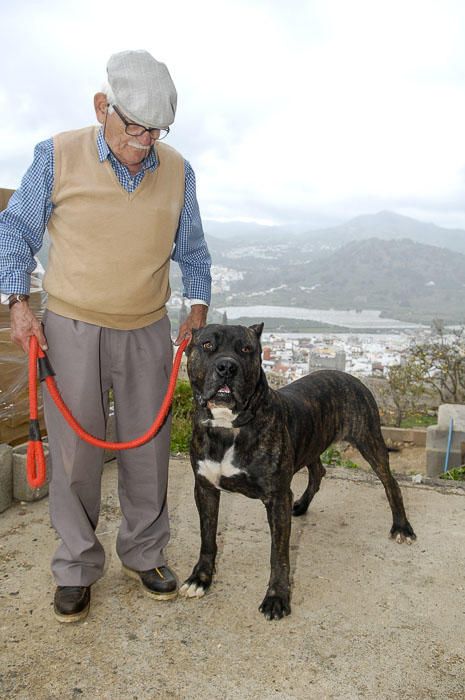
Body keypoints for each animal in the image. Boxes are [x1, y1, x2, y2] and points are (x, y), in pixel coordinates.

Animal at [179, 322, 416, 616]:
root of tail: (350, 376)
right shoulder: (205, 489)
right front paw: (200, 578)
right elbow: (207, 538)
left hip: (370, 441)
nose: (226, 367)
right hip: (312, 443)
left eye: (246, 349)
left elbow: (278, 554)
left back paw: (402, 527)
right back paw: (302, 505)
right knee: (318, 472)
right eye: (208, 345)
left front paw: (276, 597)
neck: (227, 427)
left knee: (390, 483)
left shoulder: (277, 497)